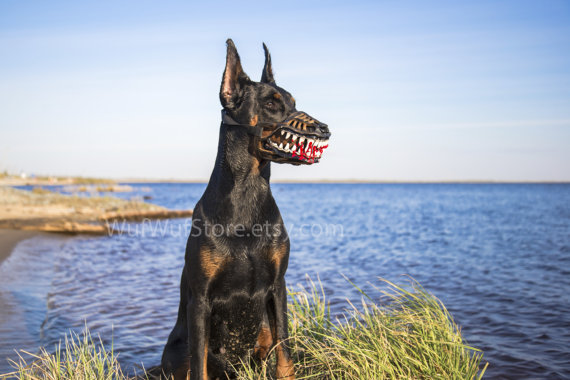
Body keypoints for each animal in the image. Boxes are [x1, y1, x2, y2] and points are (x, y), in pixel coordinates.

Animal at [160, 39, 328, 380]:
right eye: (271, 104)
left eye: (293, 102)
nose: (324, 129)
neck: (247, 193)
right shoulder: (200, 298)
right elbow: (199, 365)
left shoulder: (278, 285)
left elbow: (285, 350)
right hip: (176, 353)